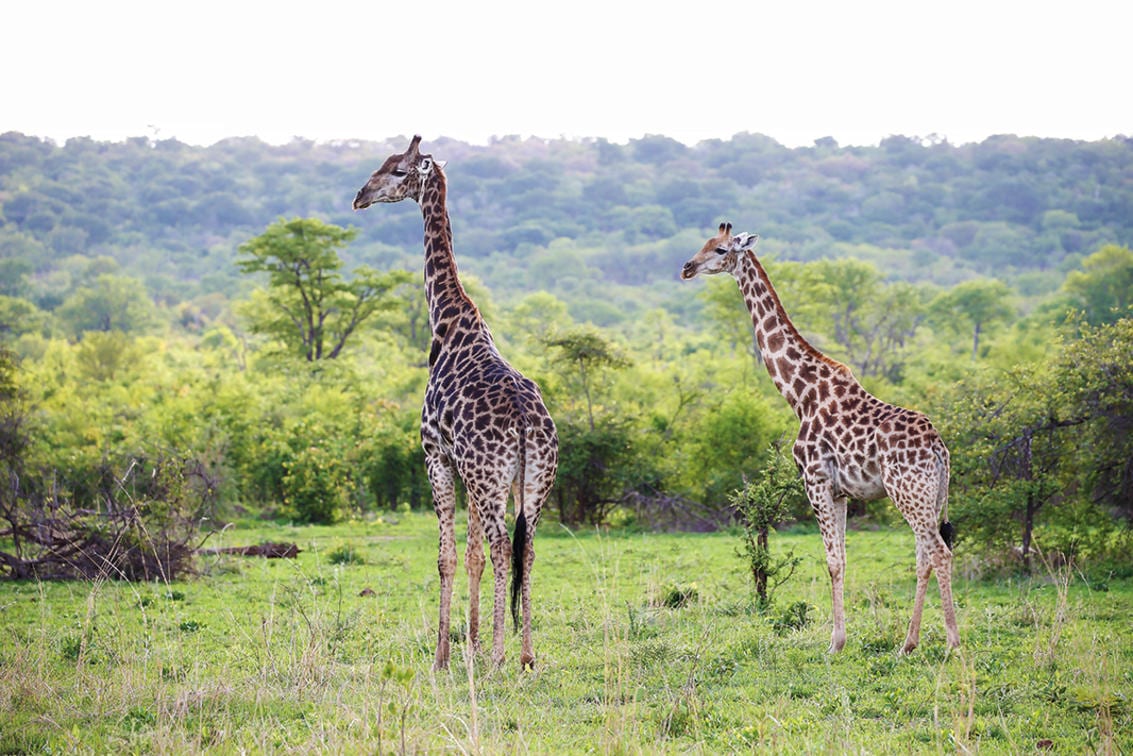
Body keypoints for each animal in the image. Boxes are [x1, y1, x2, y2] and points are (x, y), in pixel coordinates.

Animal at [352, 136, 558, 670]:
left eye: (398, 170)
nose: (360, 196)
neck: (445, 323)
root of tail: (527, 423)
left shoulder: (436, 456)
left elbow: (447, 558)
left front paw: (446, 656)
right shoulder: (468, 471)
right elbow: (472, 557)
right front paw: (471, 643)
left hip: (489, 479)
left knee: (505, 546)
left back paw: (502, 658)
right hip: (535, 480)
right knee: (527, 550)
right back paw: (526, 657)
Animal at [681, 223, 960, 654]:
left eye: (721, 249)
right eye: (704, 243)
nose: (687, 267)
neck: (799, 394)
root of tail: (939, 449)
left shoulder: (815, 480)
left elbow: (832, 561)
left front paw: (835, 643)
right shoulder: (841, 490)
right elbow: (842, 559)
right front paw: (840, 639)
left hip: (907, 492)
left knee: (940, 554)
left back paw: (951, 644)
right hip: (928, 495)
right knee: (925, 556)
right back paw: (908, 644)